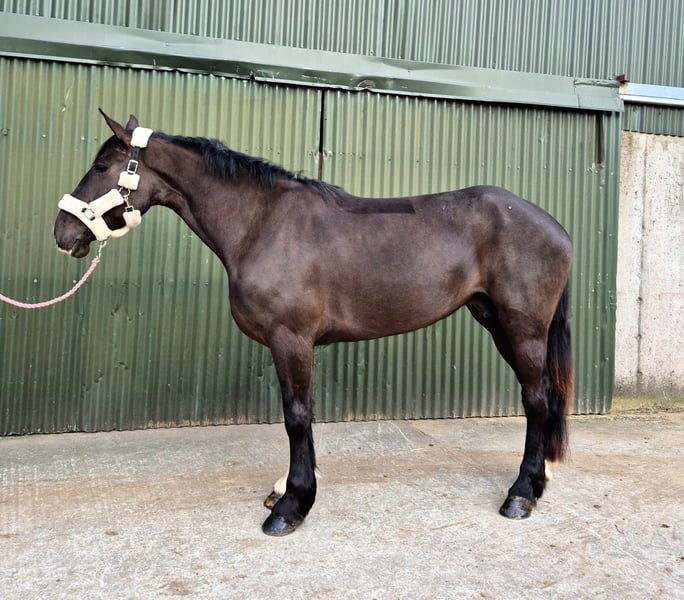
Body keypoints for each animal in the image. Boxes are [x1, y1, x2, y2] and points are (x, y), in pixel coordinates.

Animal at [54, 110, 573, 536]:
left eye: (101, 168)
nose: (63, 233)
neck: (262, 224)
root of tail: (554, 226)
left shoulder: (292, 340)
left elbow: (297, 415)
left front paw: (292, 505)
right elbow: (299, 415)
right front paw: (288, 487)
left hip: (523, 329)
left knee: (536, 398)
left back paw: (520, 494)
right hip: (497, 322)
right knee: (544, 398)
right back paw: (538, 481)